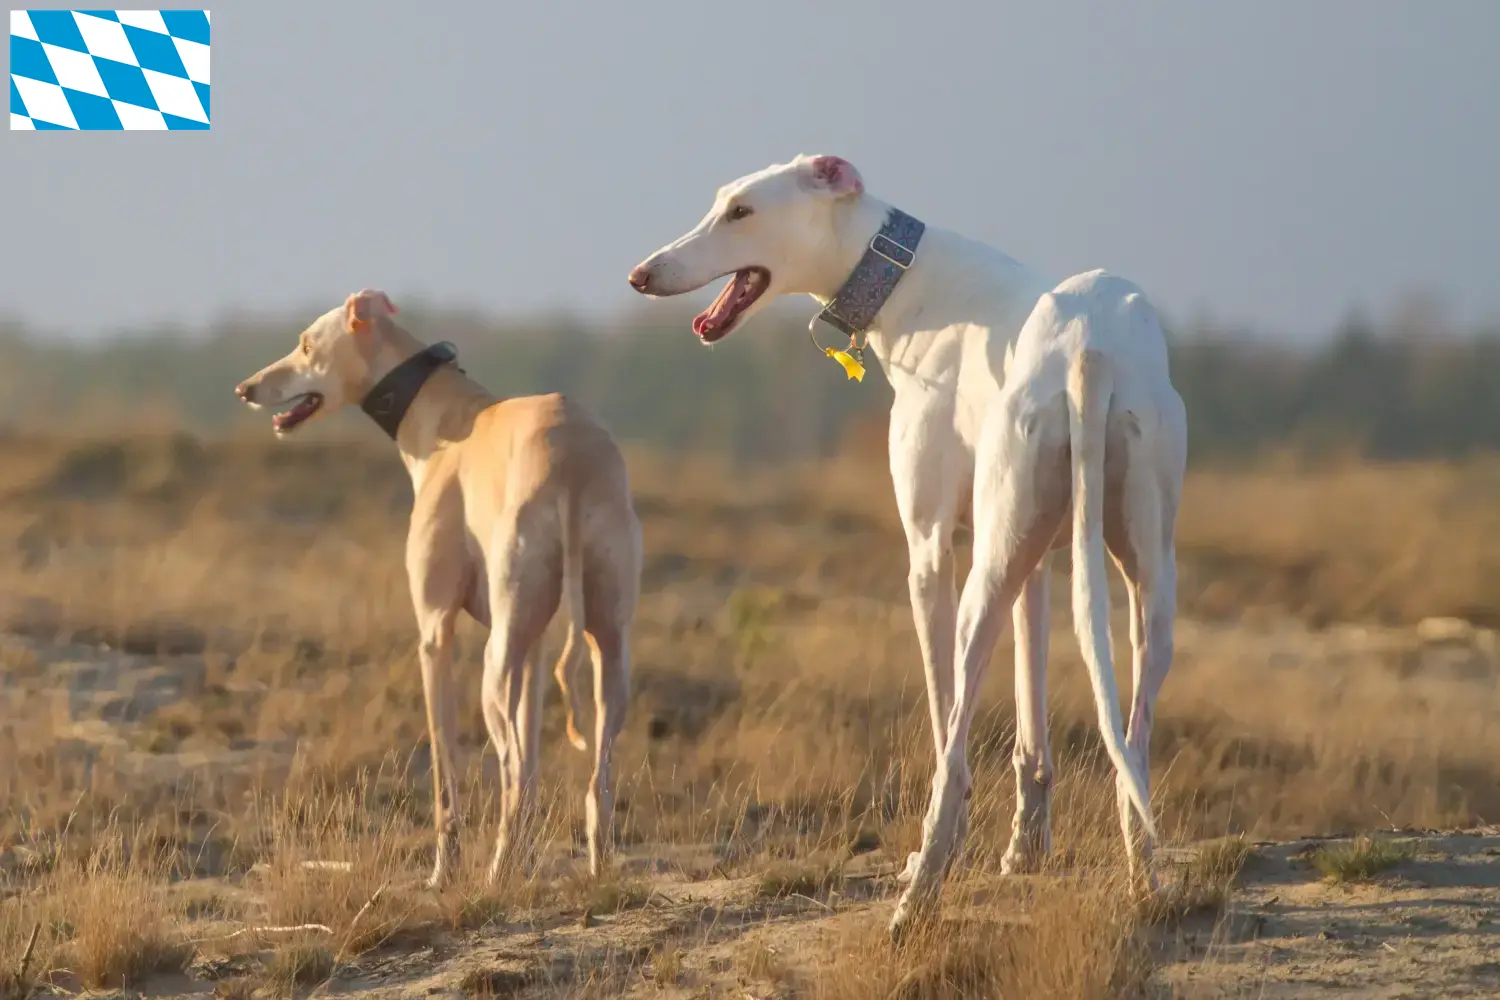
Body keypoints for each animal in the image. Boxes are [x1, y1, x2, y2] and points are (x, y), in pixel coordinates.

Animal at [231, 290, 642, 893]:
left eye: (305, 344)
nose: (246, 389)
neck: (444, 416)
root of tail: (570, 461)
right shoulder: (533, 644)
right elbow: (534, 761)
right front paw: (522, 864)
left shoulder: (434, 632)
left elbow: (447, 770)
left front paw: (444, 871)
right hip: (604, 646)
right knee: (592, 774)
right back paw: (593, 867)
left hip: (493, 669)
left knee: (509, 764)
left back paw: (494, 871)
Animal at [627, 156, 1188, 941]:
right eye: (721, 203)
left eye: (741, 211)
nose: (641, 275)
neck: (911, 278)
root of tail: (1091, 347)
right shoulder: (1038, 556)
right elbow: (1033, 721)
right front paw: (1026, 849)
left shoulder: (929, 550)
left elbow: (946, 711)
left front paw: (959, 850)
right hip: (1140, 571)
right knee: (1132, 739)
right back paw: (1146, 877)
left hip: (983, 582)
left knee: (952, 748)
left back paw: (918, 891)